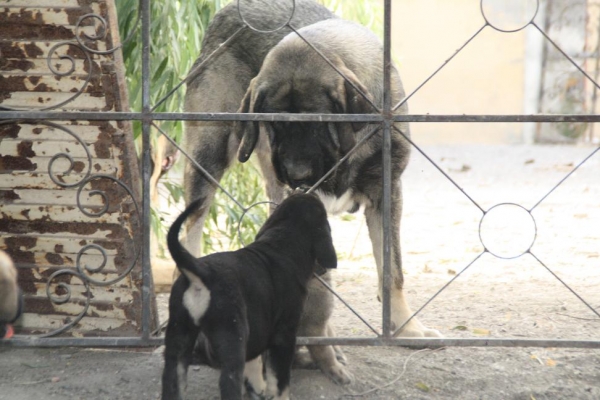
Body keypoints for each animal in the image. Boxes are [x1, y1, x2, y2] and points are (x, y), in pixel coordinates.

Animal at [162, 192, 338, 398]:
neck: (281, 244)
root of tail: (200, 273)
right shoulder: (284, 336)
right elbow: (280, 381)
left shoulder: (257, 334)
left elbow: (257, 366)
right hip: (231, 339)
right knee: (229, 383)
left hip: (178, 337)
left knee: (172, 382)